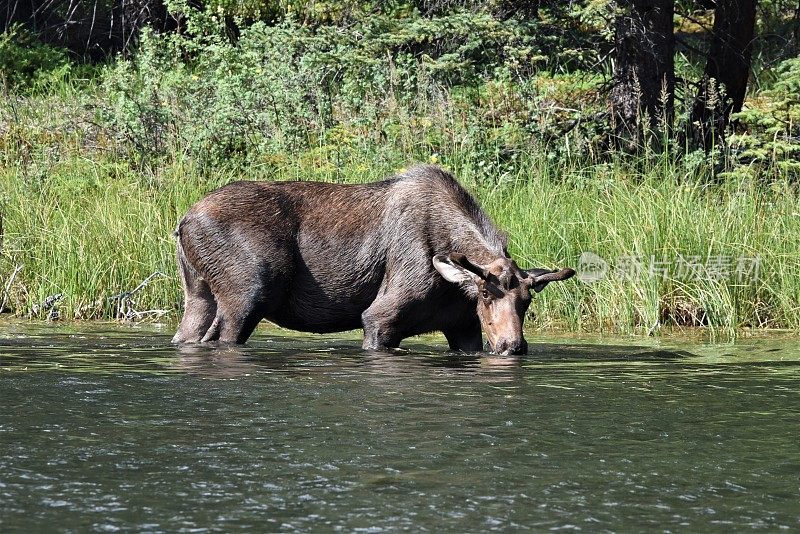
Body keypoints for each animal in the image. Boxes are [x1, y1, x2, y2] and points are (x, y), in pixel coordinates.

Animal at [173, 164, 576, 356]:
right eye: (487, 295)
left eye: (527, 301)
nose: (513, 346)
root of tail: (183, 222)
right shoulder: (379, 319)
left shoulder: (463, 328)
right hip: (246, 298)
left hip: (198, 295)